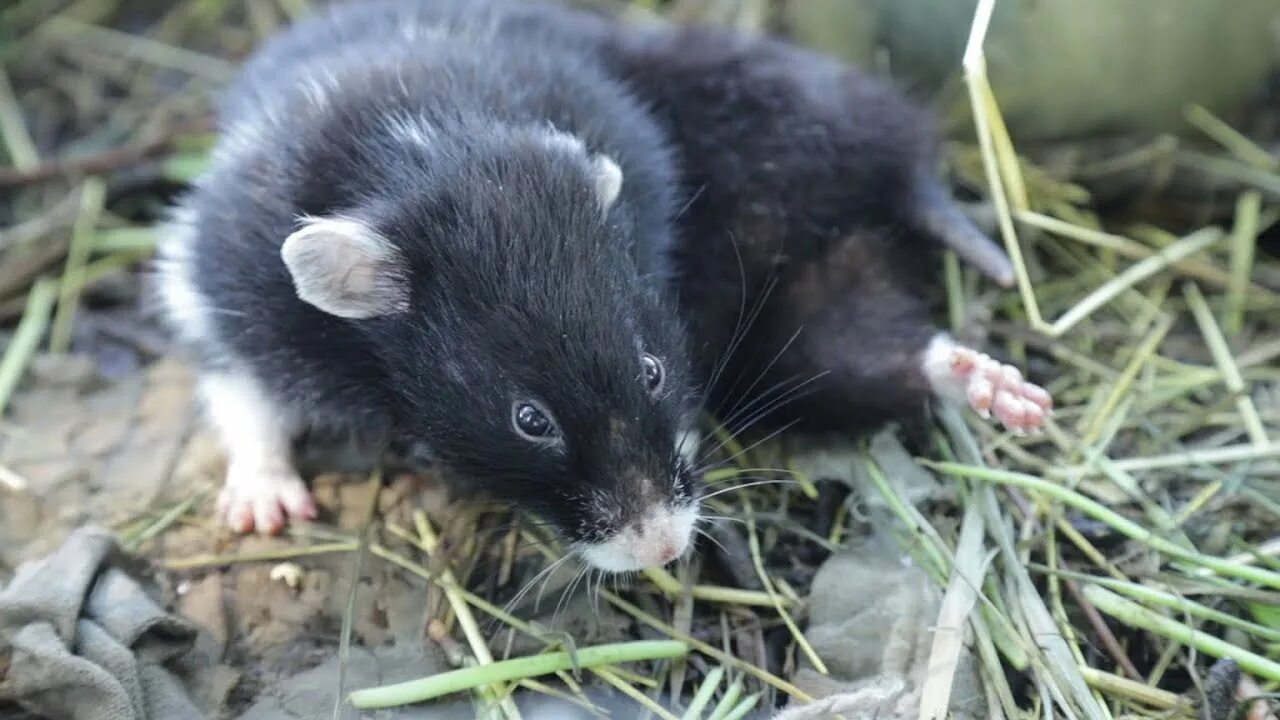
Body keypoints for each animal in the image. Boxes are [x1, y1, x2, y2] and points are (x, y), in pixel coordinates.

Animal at [157, 1, 711, 571]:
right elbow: (244, 395)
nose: (666, 551)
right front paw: (266, 513)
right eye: (530, 421)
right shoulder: (221, 293)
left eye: (652, 371)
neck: (434, 147)